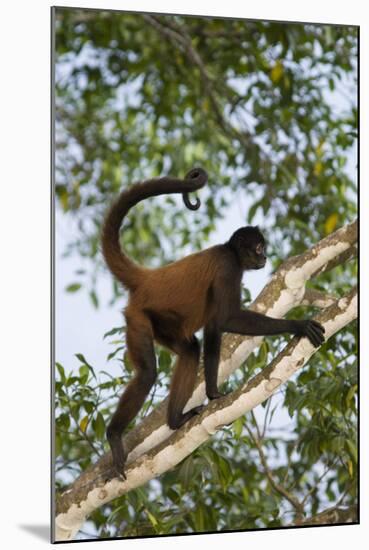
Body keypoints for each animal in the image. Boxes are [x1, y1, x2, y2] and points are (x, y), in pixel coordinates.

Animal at [100, 168, 322, 478]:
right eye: (259, 247)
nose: (265, 256)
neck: (228, 250)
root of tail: (148, 278)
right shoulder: (229, 269)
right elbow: (220, 322)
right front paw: (215, 393)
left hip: (163, 325)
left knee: (191, 349)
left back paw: (175, 420)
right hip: (138, 318)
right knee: (147, 374)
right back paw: (114, 434)